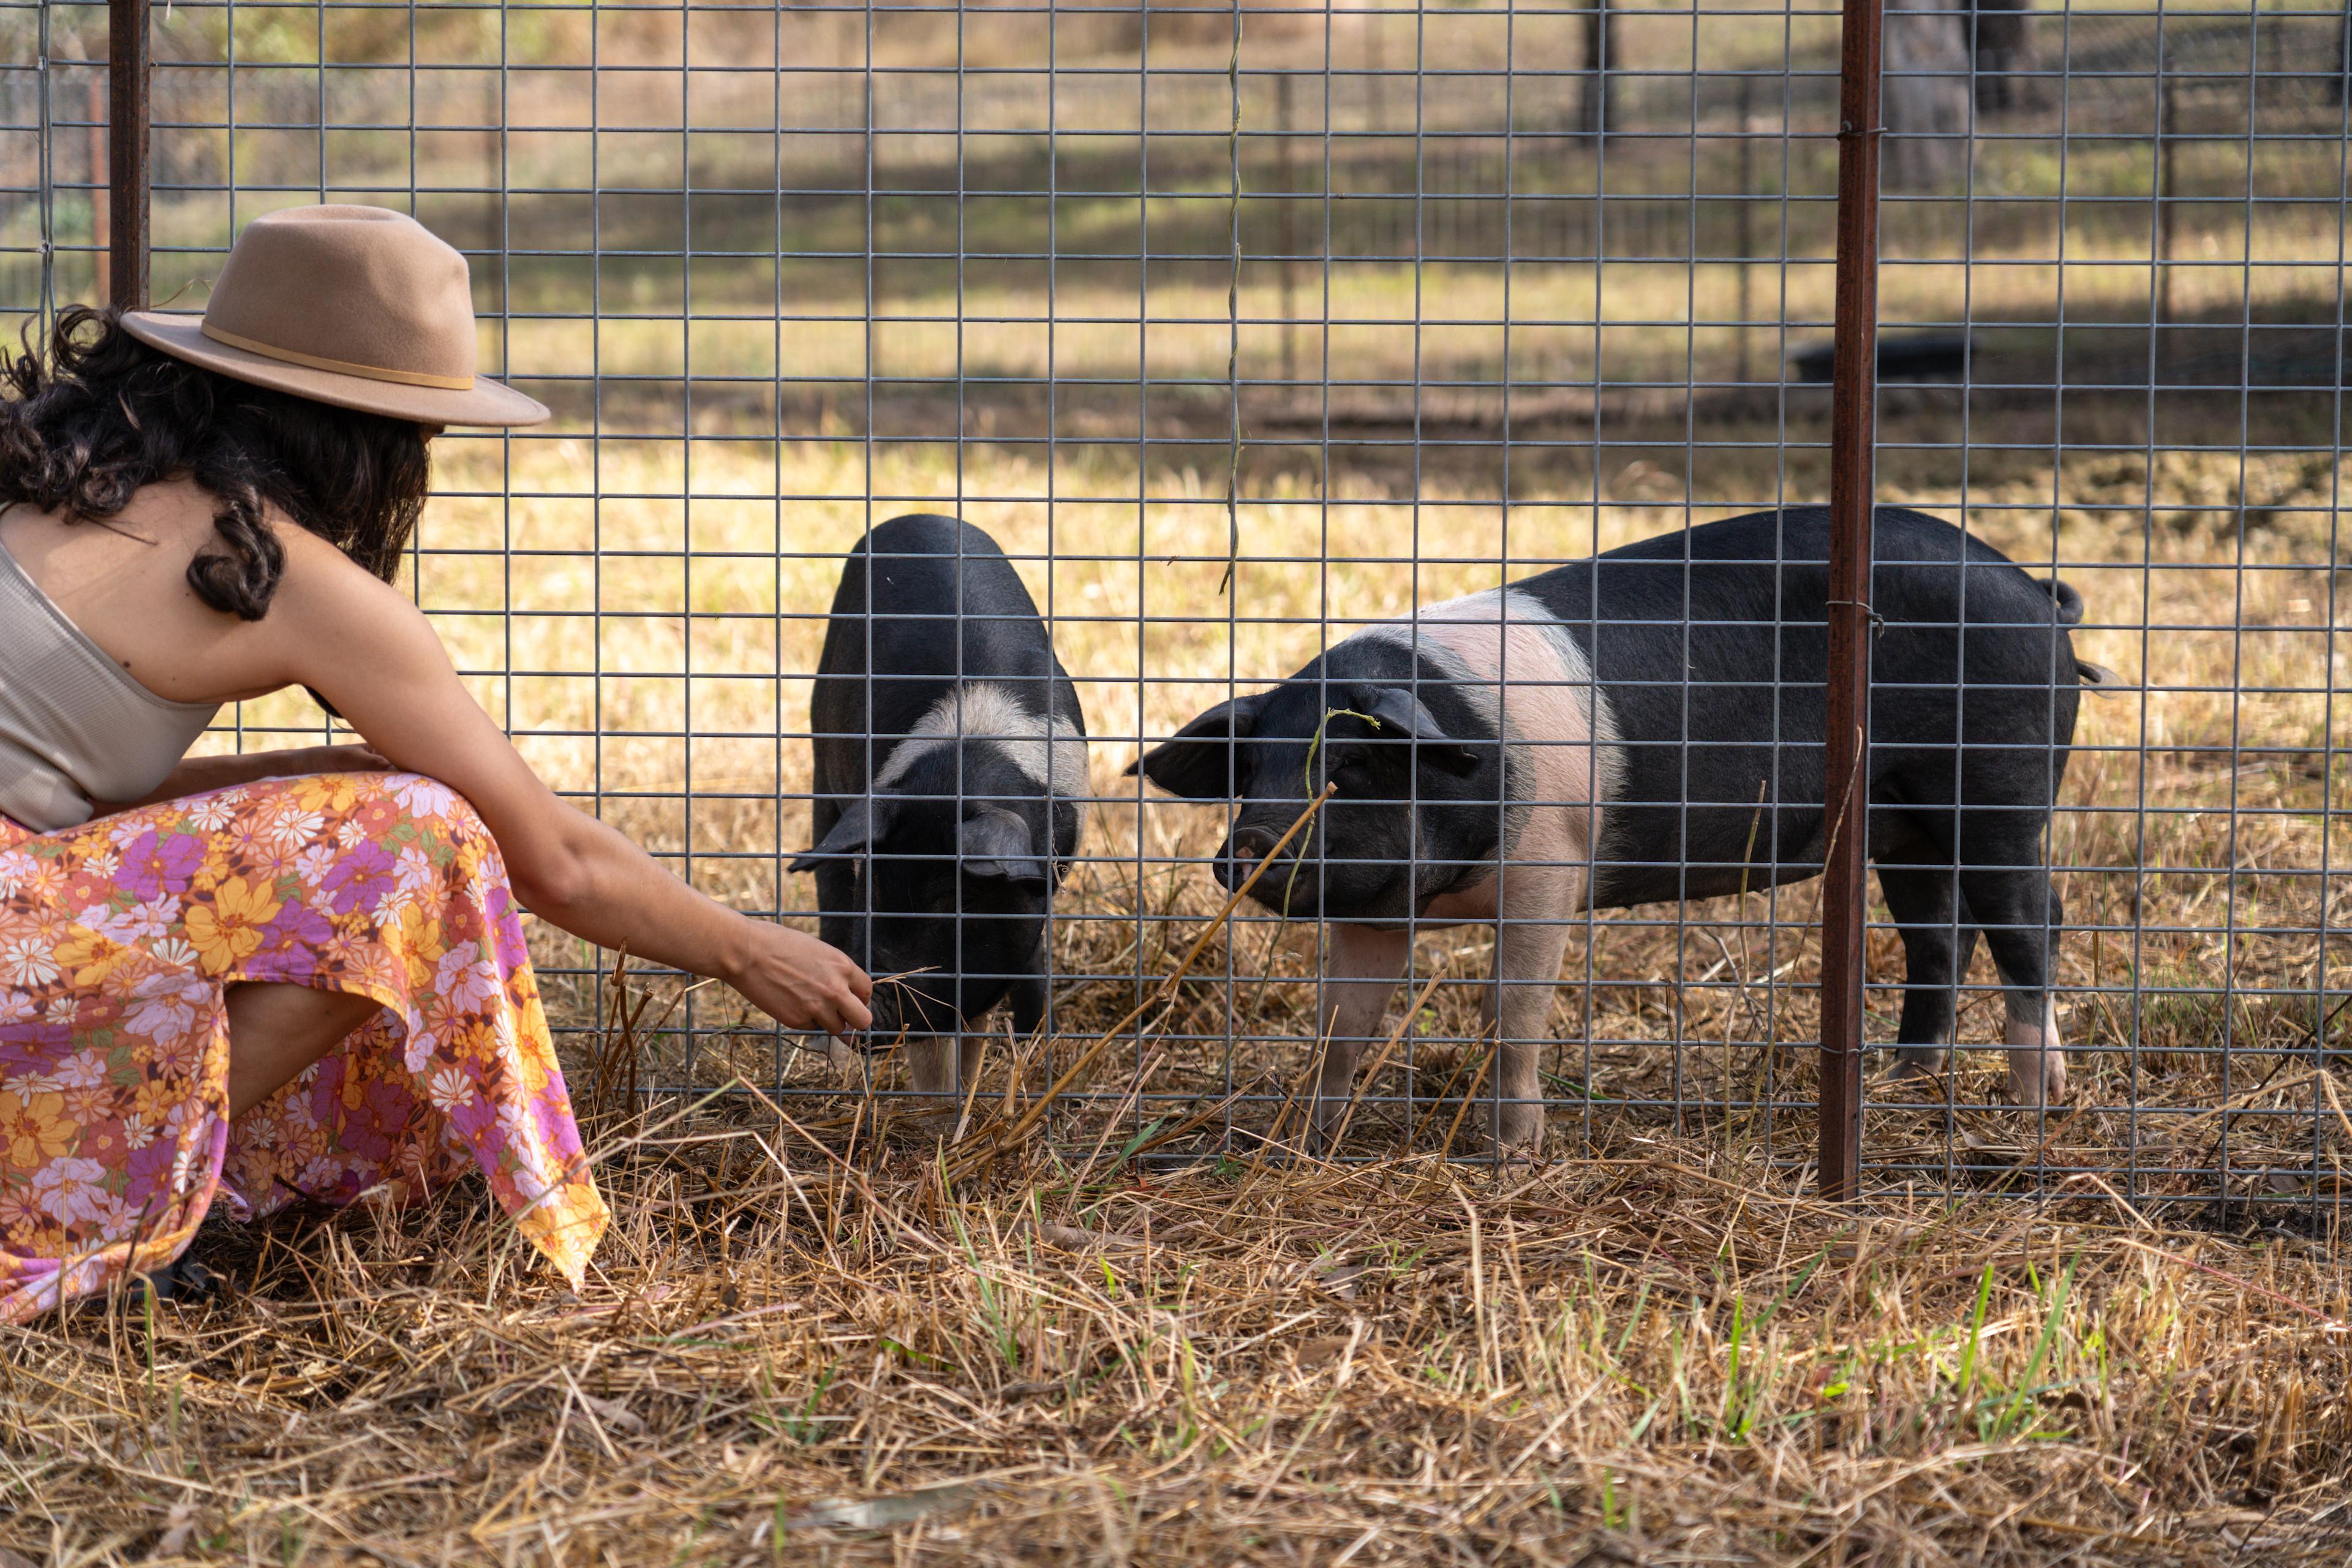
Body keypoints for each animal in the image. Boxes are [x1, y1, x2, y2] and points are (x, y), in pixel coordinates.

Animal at [793, 514, 1089, 1097]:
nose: (868, 1014)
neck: (962, 768)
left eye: (952, 903)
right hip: (821, 758)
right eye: (875, 889)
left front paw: (1033, 1049)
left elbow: (1028, 970)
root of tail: (922, 515)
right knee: (829, 881)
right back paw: (824, 1054)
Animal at [1132, 506, 2113, 1150]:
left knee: (2033, 925)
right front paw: (1306, 1140)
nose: (1245, 847)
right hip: (1902, 825)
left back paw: (2034, 1108)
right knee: (1938, 937)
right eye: (1252, 771)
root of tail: (2038, 596)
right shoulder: (1373, 911)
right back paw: (1903, 1083)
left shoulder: (1548, 868)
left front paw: (1511, 1154)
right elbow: (1344, 1022)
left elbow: (1510, 1011)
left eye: (1346, 766)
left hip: (1998, 788)